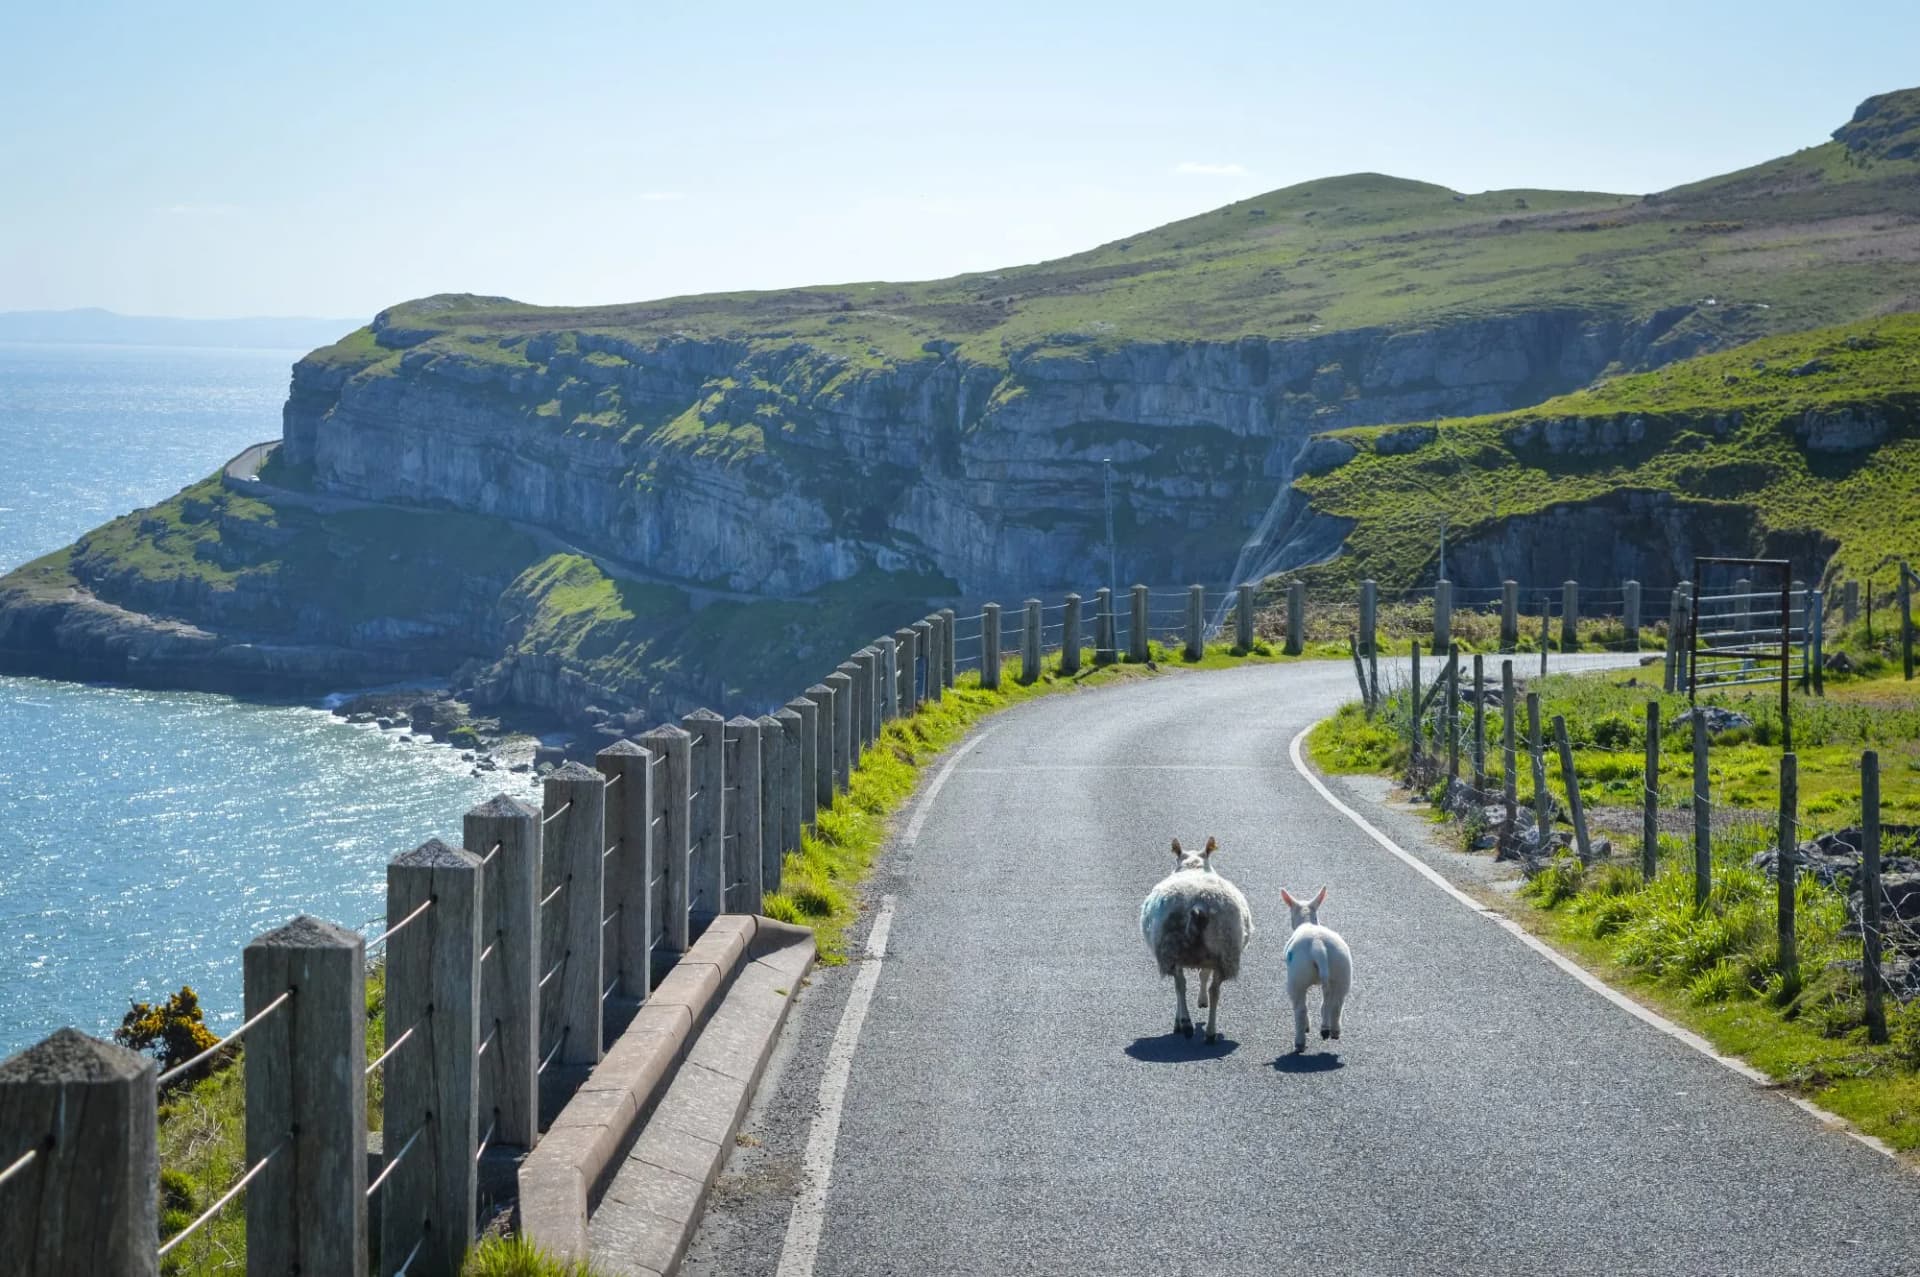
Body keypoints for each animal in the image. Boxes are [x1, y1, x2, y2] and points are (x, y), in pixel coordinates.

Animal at [1139, 837, 1254, 1043]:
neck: (1194, 866)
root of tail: (1199, 904)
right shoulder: (1207, 958)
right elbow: (1203, 975)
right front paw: (1201, 1002)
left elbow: (1182, 984)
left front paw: (1181, 1019)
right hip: (1225, 951)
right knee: (1214, 990)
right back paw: (1210, 1032)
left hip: (1172, 947)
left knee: (1180, 985)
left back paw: (1185, 1024)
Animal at [1281, 887, 1352, 1053]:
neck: (1307, 922)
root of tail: (1318, 945)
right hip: (1342, 970)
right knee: (1337, 1003)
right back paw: (1334, 1031)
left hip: (1297, 977)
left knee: (1300, 1009)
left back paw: (1300, 1042)